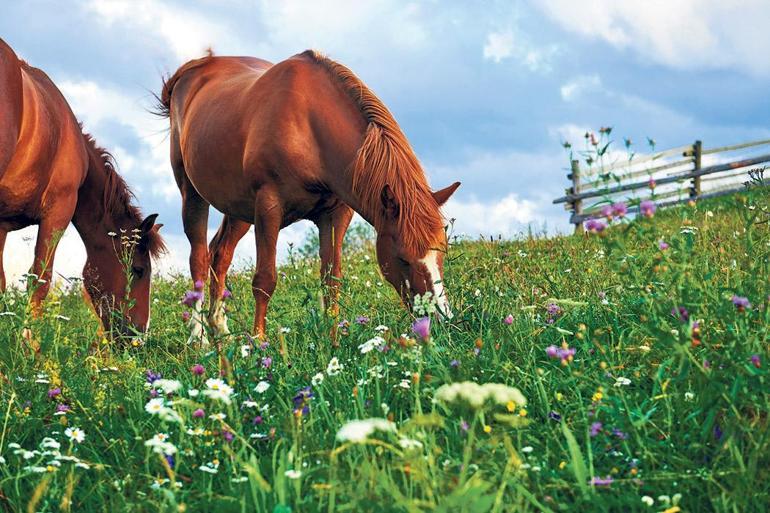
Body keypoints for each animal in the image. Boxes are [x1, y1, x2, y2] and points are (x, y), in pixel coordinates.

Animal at [156, 50, 456, 342]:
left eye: (442, 250)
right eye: (403, 258)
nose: (440, 320)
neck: (309, 128)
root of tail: (193, 70)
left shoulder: (335, 215)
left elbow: (331, 278)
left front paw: (333, 341)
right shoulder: (268, 208)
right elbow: (264, 280)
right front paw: (259, 344)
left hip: (238, 209)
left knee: (220, 254)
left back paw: (220, 329)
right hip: (193, 194)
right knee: (199, 260)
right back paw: (198, 339)